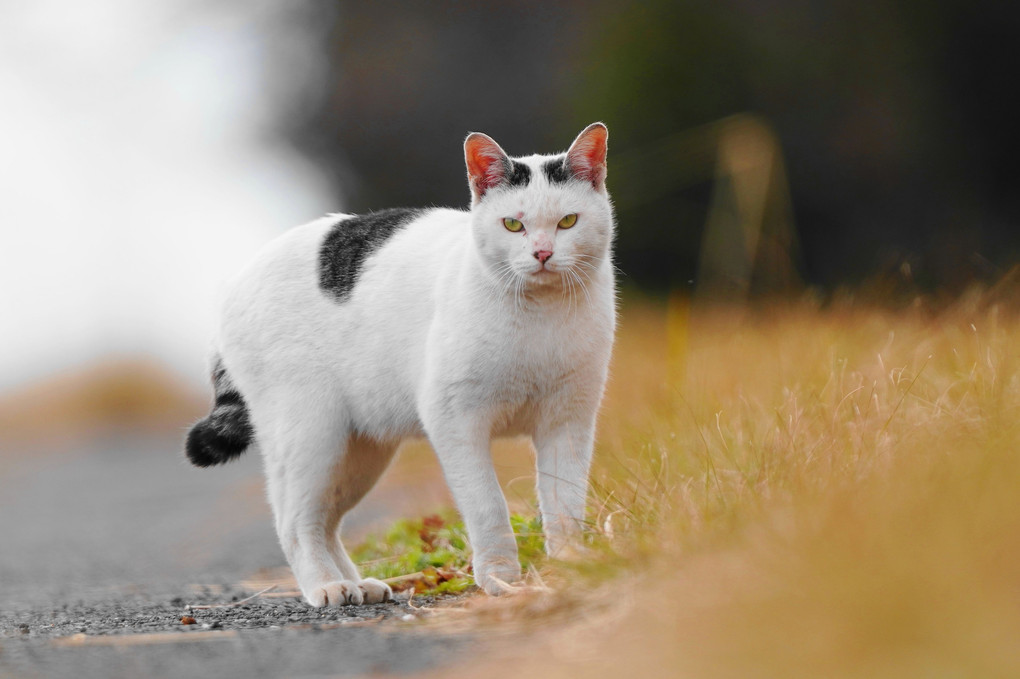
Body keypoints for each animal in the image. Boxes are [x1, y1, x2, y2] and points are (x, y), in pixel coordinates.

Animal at [187, 121, 616, 603]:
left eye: (567, 221)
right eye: (513, 224)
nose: (542, 253)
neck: (540, 319)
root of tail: (234, 283)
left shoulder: (568, 423)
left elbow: (566, 505)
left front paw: (573, 565)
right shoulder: (454, 420)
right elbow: (488, 506)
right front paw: (502, 578)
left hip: (358, 452)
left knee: (324, 520)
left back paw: (358, 584)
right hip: (311, 434)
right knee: (293, 520)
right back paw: (328, 586)